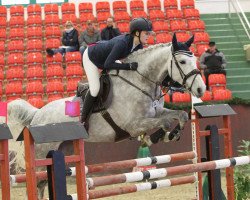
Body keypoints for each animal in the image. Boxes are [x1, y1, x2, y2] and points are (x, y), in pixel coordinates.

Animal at [6, 33, 206, 198]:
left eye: (195, 59)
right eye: (182, 62)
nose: (200, 89)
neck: (140, 82)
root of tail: (37, 114)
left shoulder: (156, 112)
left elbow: (181, 115)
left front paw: (171, 134)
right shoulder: (134, 125)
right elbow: (164, 122)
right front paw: (156, 137)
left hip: (64, 149)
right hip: (42, 156)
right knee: (37, 184)